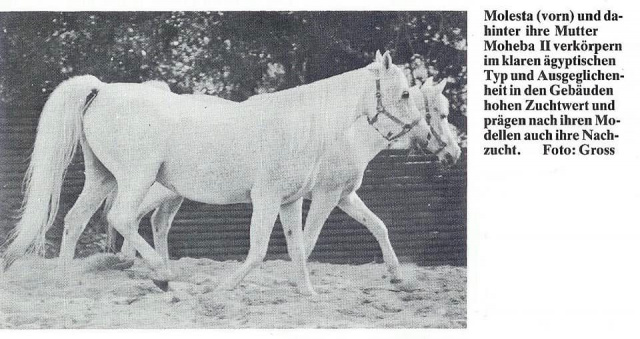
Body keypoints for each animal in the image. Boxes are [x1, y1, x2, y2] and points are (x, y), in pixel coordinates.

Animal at [111, 77, 460, 282]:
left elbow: (378, 226)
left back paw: (157, 267)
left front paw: (396, 273)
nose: (453, 154)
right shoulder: (326, 196)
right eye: (440, 114)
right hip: (155, 186)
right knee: (130, 214)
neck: (347, 135)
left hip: (176, 193)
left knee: (154, 221)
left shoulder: (345, 196)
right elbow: (309, 239)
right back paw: (132, 262)